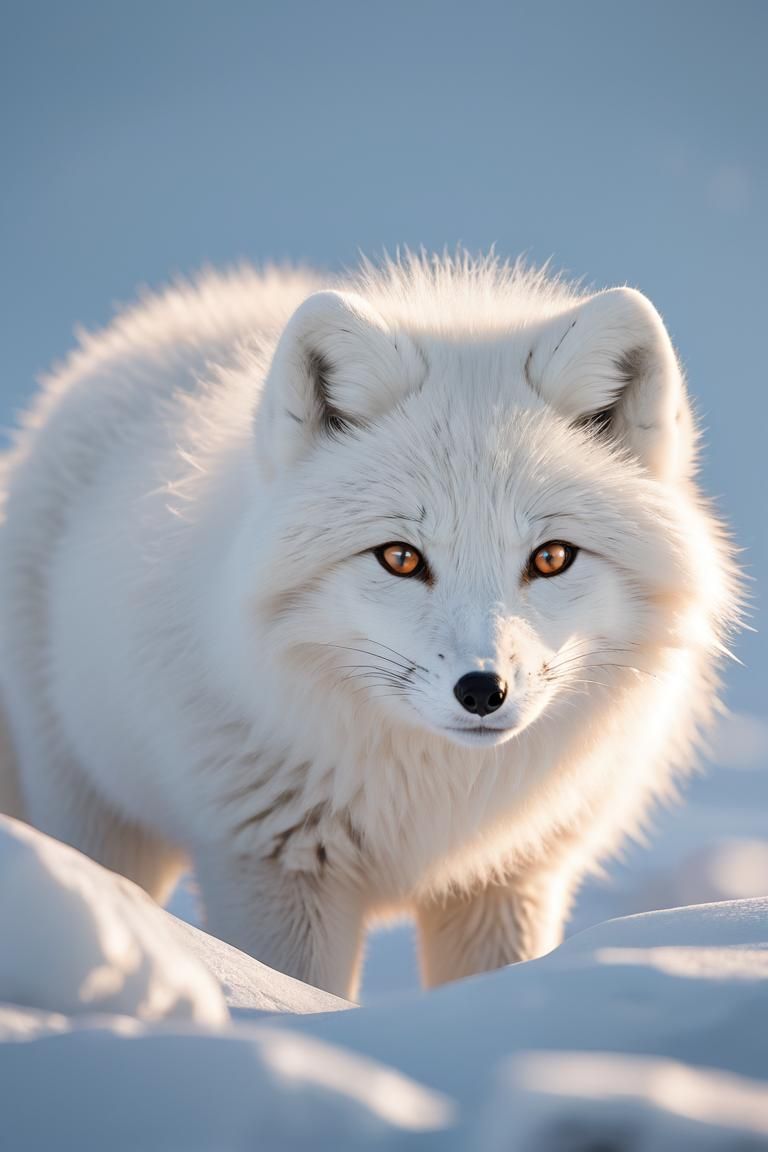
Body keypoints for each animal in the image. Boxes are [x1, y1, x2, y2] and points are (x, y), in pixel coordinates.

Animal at [0, 253, 737, 999]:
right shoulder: (273, 862)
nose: (482, 691)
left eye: (552, 558)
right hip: (97, 817)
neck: (437, 800)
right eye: (400, 558)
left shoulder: (510, 878)